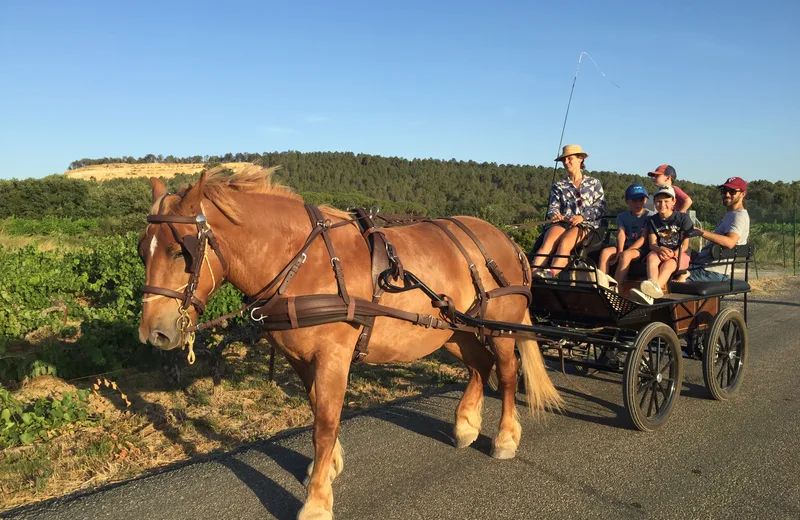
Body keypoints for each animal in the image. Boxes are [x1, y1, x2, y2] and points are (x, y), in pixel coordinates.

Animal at [138, 167, 560, 520]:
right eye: (143, 251)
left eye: (181, 251)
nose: (154, 333)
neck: (303, 262)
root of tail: (506, 240)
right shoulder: (302, 358)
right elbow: (318, 411)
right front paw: (326, 467)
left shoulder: (333, 357)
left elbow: (324, 424)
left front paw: (317, 500)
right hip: (453, 330)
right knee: (479, 366)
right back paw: (466, 426)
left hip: (500, 327)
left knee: (507, 373)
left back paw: (505, 437)